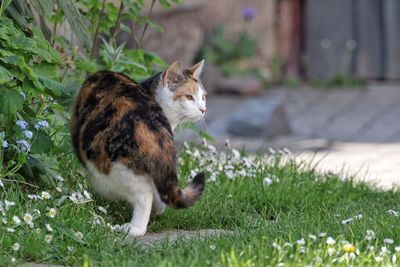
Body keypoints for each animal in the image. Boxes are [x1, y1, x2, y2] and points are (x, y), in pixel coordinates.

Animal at [70, 60, 206, 237]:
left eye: (203, 97)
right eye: (189, 97)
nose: (203, 109)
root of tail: (153, 128)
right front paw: (159, 208)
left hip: (113, 170)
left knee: (143, 196)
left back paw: (133, 229)